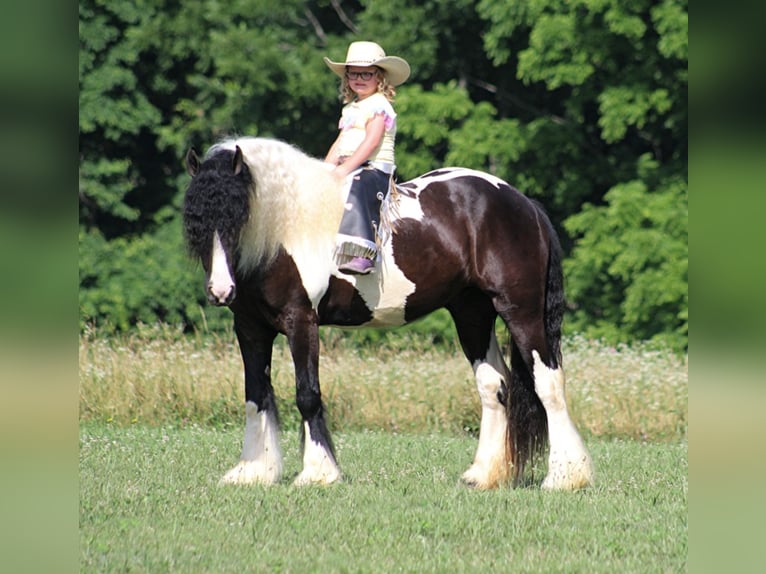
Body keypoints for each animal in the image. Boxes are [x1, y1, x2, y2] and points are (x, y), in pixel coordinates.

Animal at [184, 137, 592, 492]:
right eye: (196, 222)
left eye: (238, 215)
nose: (220, 290)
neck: (284, 229)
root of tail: (521, 202)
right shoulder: (251, 328)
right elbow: (255, 395)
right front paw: (253, 471)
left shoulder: (301, 322)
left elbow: (307, 394)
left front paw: (318, 473)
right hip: (472, 315)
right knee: (495, 386)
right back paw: (483, 475)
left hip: (520, 310)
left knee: (548, 383)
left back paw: (565, 477)